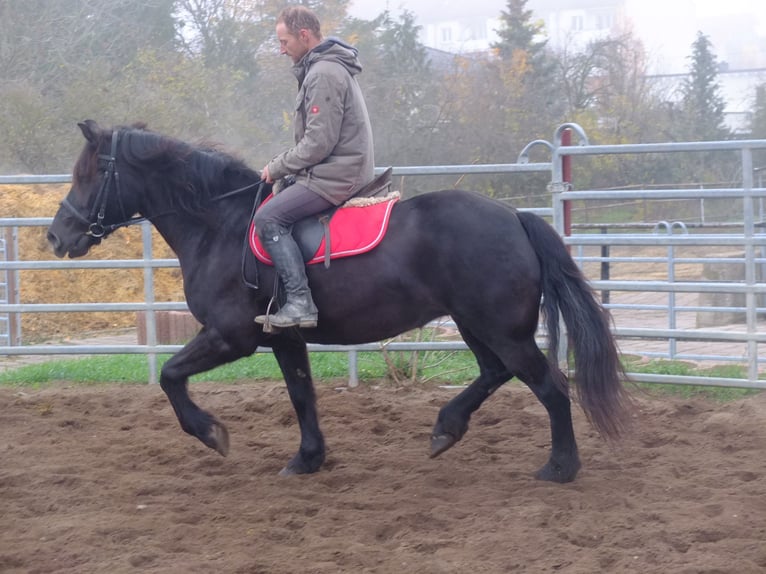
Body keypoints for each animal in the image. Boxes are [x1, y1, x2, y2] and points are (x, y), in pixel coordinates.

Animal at [46, 121, 632, 486]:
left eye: (88, 174)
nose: (56, 236)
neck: (219, 225)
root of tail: (515, 217)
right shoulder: (282, 337)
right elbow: (302, 396)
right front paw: (308, 459)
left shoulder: (231, 336)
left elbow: (170, 375)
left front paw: (212, 433)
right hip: (477, 325)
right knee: (496, 373)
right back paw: (447, 428)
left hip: (500, 328)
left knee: (550, 387)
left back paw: (560, 467)